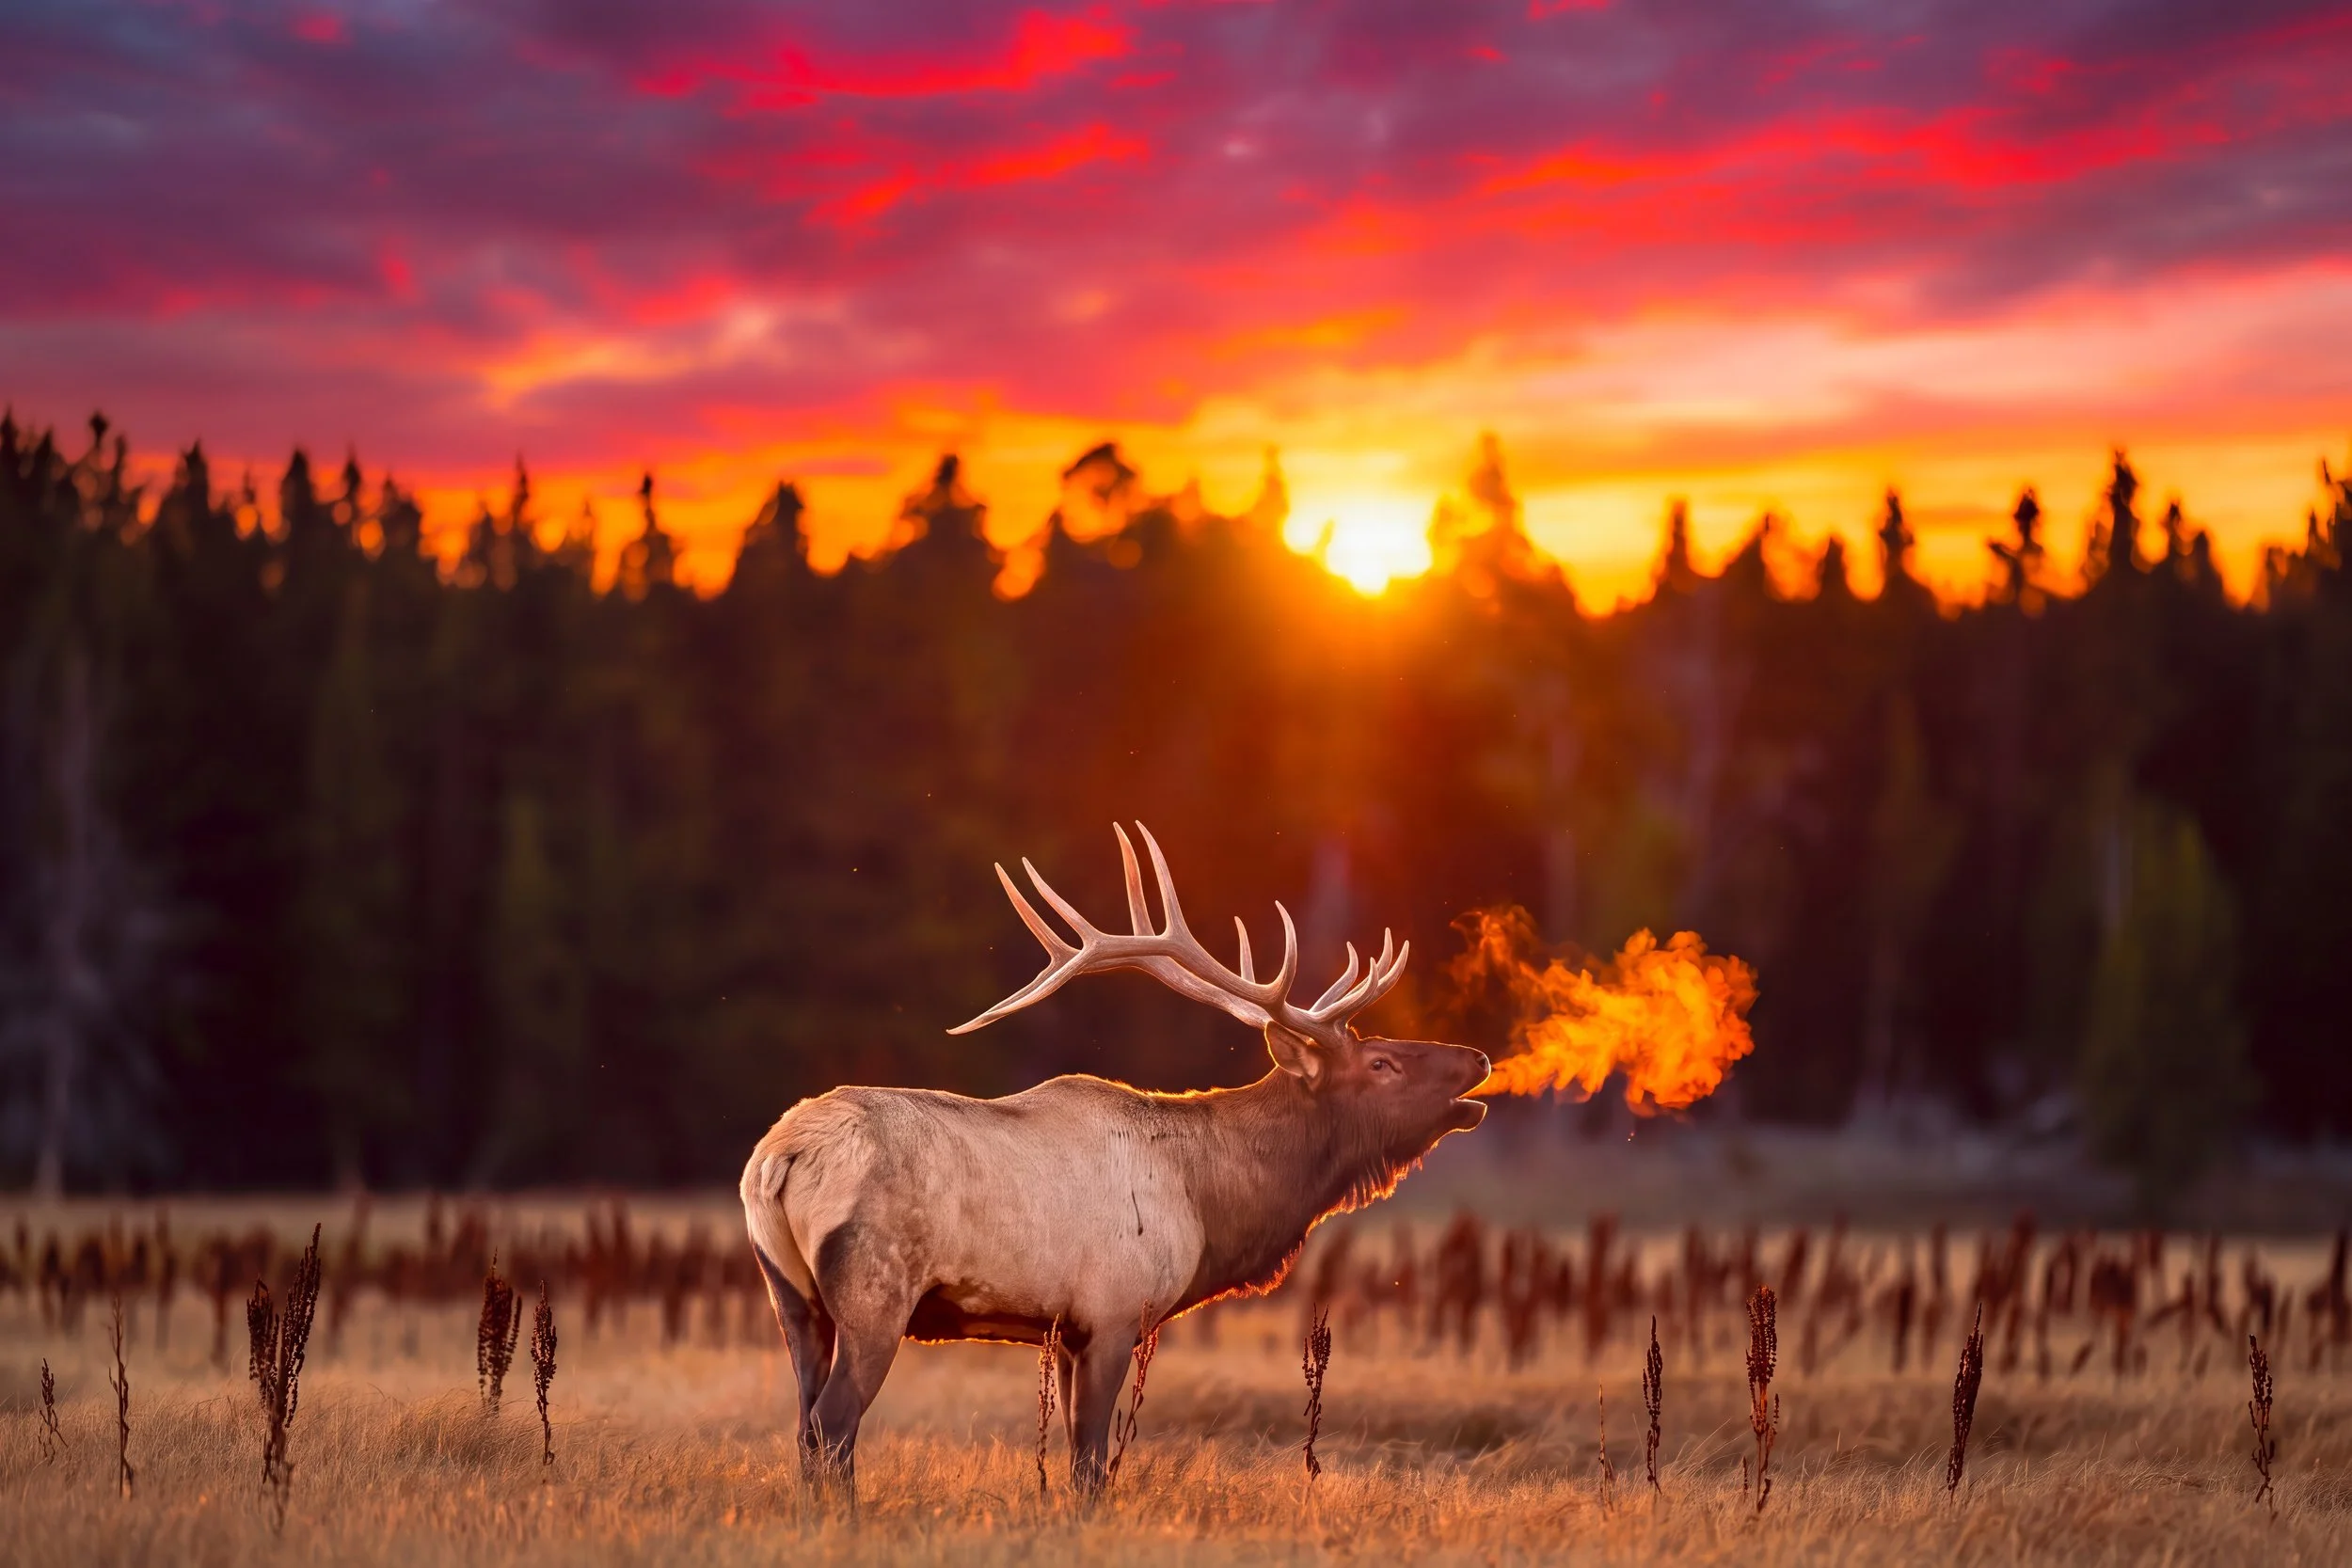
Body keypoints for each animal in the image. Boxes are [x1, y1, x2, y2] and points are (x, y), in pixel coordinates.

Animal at [740, 823, 1490, 1494]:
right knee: (833, 1424)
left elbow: (1078, 1458)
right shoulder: (1113, 1313)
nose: (1479, 1057)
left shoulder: (1068, 1331)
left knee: (804, 1425)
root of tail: (780, 1156)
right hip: (875, 1293)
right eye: (1381, 1063)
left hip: (792, 1298)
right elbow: (1089, 1463)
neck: (1207, 1202)